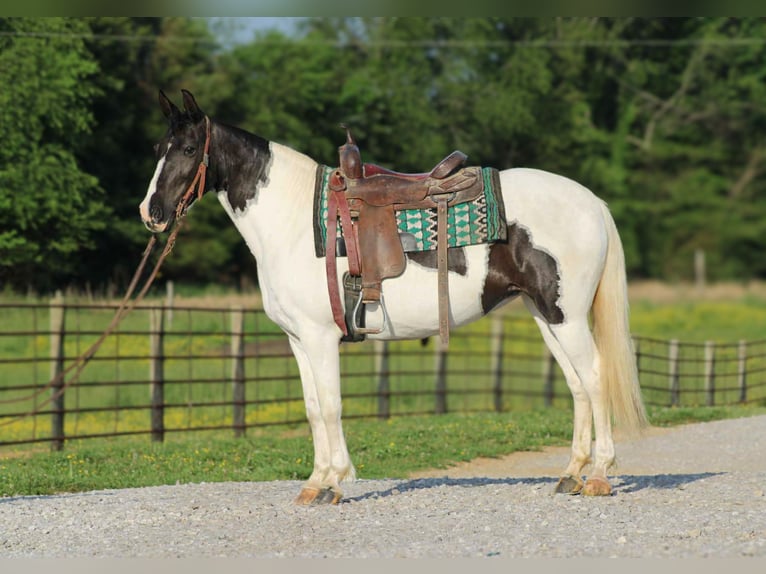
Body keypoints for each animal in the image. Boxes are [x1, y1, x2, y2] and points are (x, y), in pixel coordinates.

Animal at [139, 89, 647, 505]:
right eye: (158, 149)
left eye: (189, 149)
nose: (151, 212)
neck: (294, 221)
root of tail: (592, 202)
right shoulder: (298, 341)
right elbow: (312, 408)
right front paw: (314, 483)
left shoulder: (321, 338)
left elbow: (331, 406)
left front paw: (334, 482)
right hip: (546, 316)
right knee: (578, 385)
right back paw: (571, 475)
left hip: (567, 316)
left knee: (596, 378)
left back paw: (599, 477)